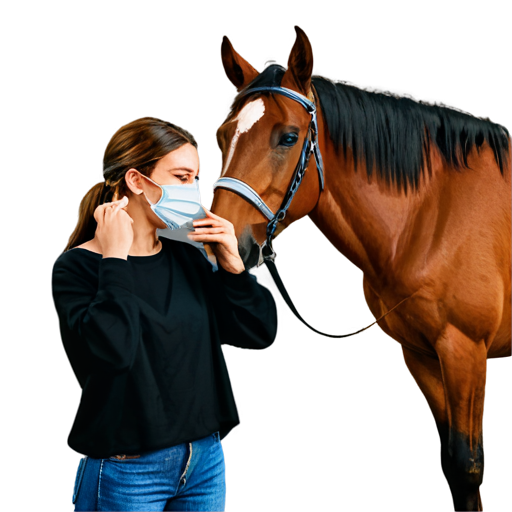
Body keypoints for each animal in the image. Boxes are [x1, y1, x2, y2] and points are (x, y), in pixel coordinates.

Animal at [209, 28, 512, 512]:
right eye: (223, 136)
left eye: (288, 137)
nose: (219, 243)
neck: (435, 214)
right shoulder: (421, 355)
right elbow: (451, 465)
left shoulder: (466, 351)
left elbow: (467, 465)